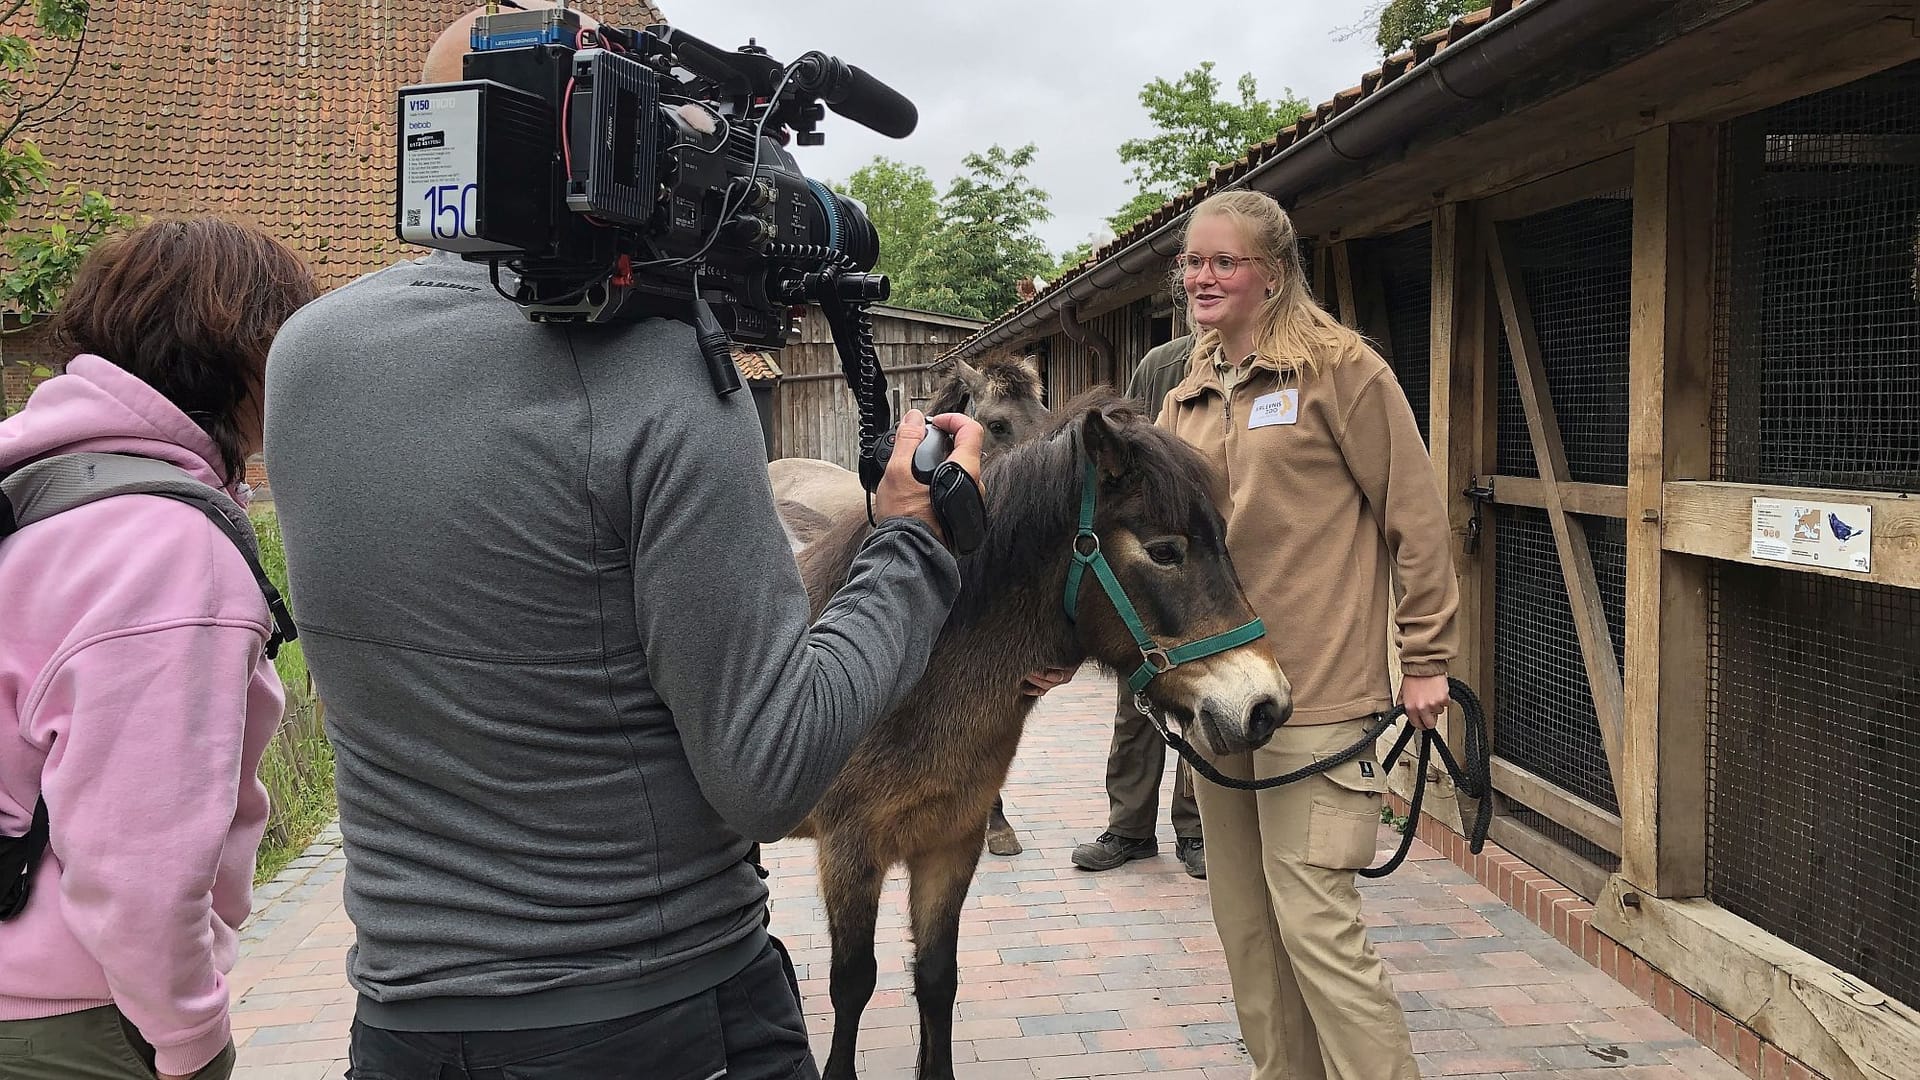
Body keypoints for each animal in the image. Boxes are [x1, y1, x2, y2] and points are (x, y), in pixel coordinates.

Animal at [779, 388, 1290, 1076]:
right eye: (1164, 550)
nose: (1266, 706)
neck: (889, 657)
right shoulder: (848, 852)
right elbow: (853, 983)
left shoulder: (951, 842)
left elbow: (936, 976)